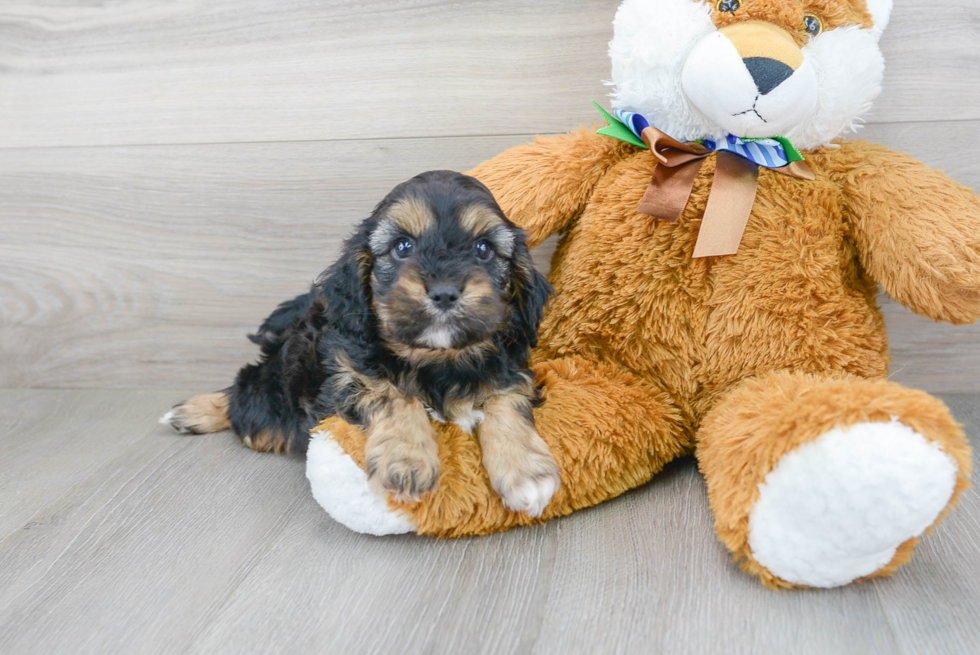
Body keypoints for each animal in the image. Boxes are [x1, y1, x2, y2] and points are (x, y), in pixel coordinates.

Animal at [160, 169, 560, 516]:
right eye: (402, 247)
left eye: (483, 249)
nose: (445, 292)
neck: (437, 359)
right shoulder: (347, 370)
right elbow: (392, 393)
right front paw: (406, 459)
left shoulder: (511, 368)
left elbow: (505, 400)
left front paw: (526, 471)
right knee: (248, 399)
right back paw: (196, 410)